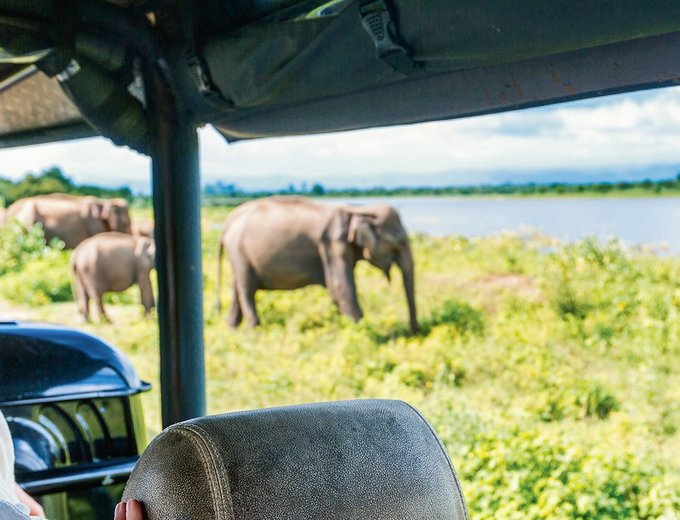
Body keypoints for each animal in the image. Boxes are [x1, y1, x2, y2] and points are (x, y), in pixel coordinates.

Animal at [215, 195, 418, 334]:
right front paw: (361, 332)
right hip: (239, 252)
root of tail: (229, 220)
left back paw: (231, 327)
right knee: (247, 289)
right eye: (399, 243)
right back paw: (254, 330)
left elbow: (338, 291)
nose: (414, 332)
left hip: (239, 256)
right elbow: (340, 287)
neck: (357, 210)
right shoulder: (332, 244)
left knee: (238, 287)